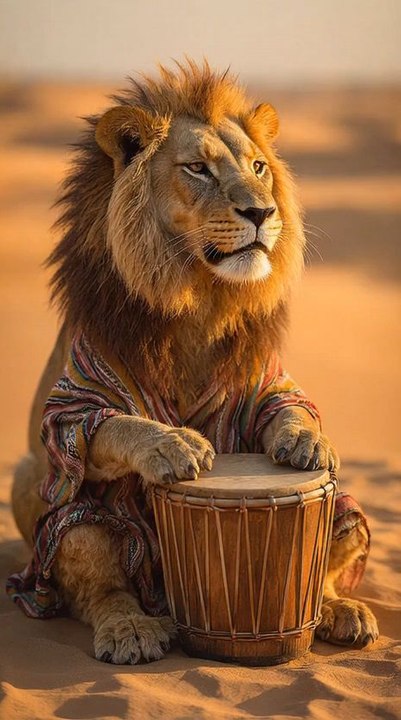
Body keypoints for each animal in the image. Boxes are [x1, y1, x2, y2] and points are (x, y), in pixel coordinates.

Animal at [9, 60, 378, 664]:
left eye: (258, 167)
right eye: (198, 169)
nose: (262, 212)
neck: (199, 298)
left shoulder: (265, 383)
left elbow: (288, 406)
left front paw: (307, 439)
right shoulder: (76, 398)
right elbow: (108, 424)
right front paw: (172, 444)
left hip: (341, 506)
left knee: (333, 540)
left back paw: (340, 612)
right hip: (41, 496)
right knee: (91, 566)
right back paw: (131, 629)